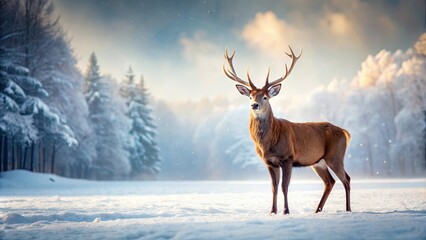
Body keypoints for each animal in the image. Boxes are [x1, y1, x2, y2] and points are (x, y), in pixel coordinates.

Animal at [225, 46, 352, 215]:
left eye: (265, 97)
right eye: (250, 96)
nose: (254, 105)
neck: (268, 143)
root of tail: (345, 132)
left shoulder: (288, 157)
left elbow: (284, 186)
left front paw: (286, 211)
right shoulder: (270, 162)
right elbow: (274, 188)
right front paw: (272, 211)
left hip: (335, 156)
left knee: (346, 179)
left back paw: (348, 210)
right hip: (318, 162)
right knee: (330, 182)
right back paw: (317, 210)